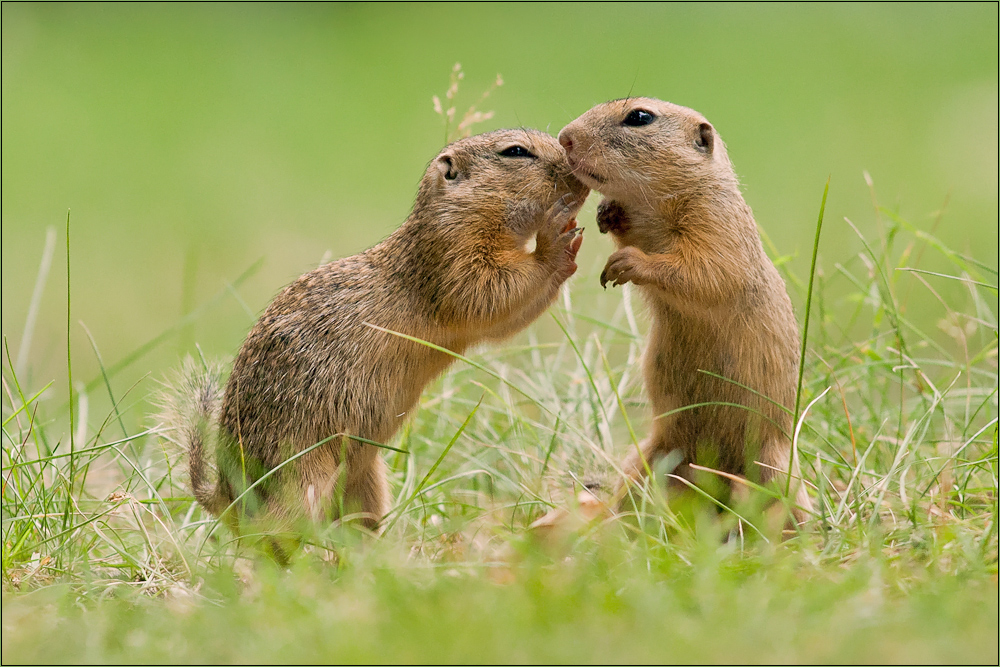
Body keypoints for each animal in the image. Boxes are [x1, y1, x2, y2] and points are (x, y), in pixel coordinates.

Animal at [162, 129, 584, 544]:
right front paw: (554, 237)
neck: (456, 215)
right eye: (516, 152)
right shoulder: (451, 261)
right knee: (274, 536)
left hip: (366, 482)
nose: (576, 175)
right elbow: (491, 293)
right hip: (303, 476)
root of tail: (224, 494)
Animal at [556, 99, 812, 524]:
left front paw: (625, 263)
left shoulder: (716, 225)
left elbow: (703, 271)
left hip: (775, 471)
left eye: (640, 117)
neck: (659, 206)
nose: (564, 138)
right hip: (649, 458)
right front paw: (608, 214)